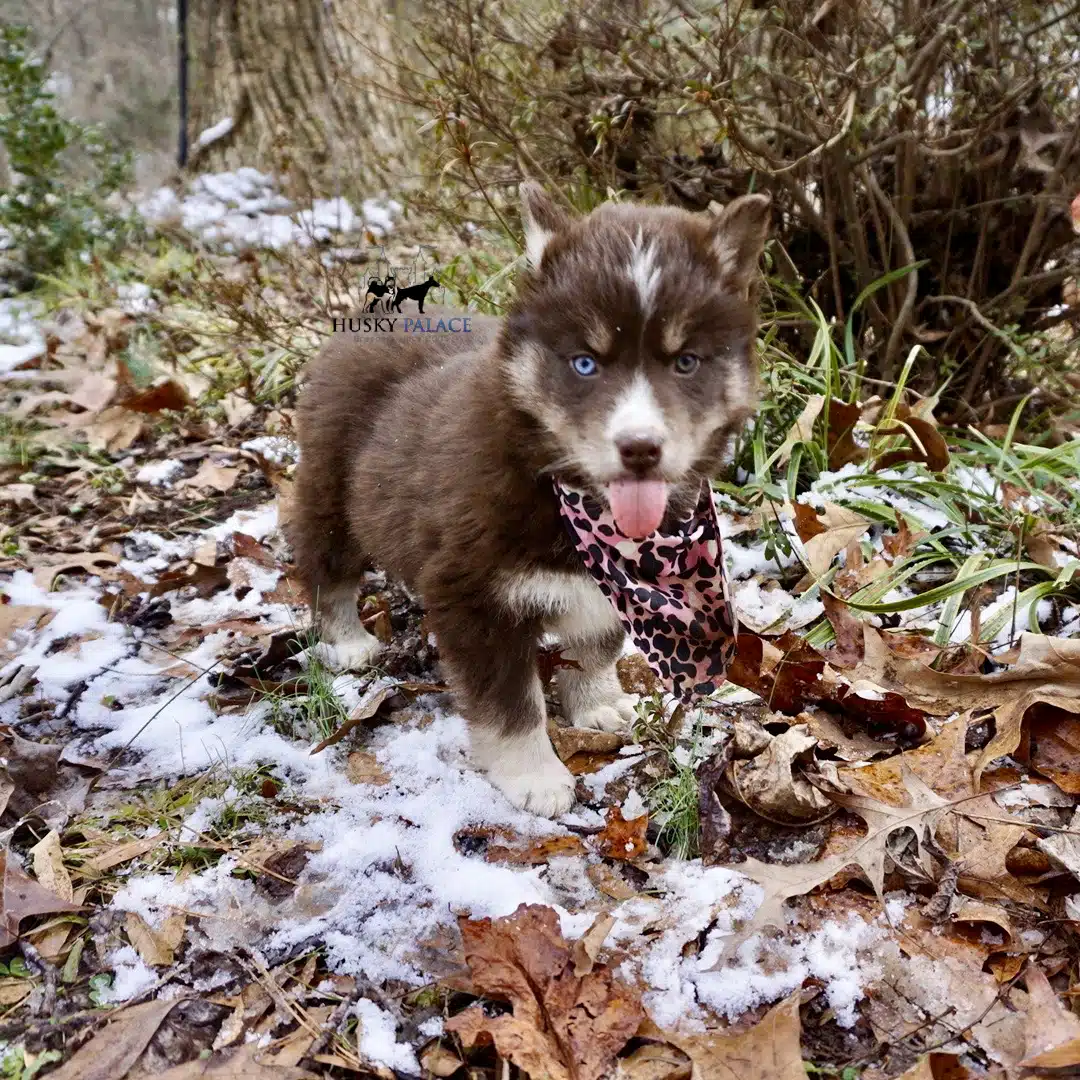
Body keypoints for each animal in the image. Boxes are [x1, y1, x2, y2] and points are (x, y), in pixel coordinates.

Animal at [291, 183, 773, 812]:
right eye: (585, 363)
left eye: (686, 362)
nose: (640, 448)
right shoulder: (475, 597)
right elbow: (511, 703)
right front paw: (535, 778)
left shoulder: (607, 586)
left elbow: (593, 644)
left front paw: (597, 704)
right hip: (331, 497)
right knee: (327, 568)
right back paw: (347, 641)